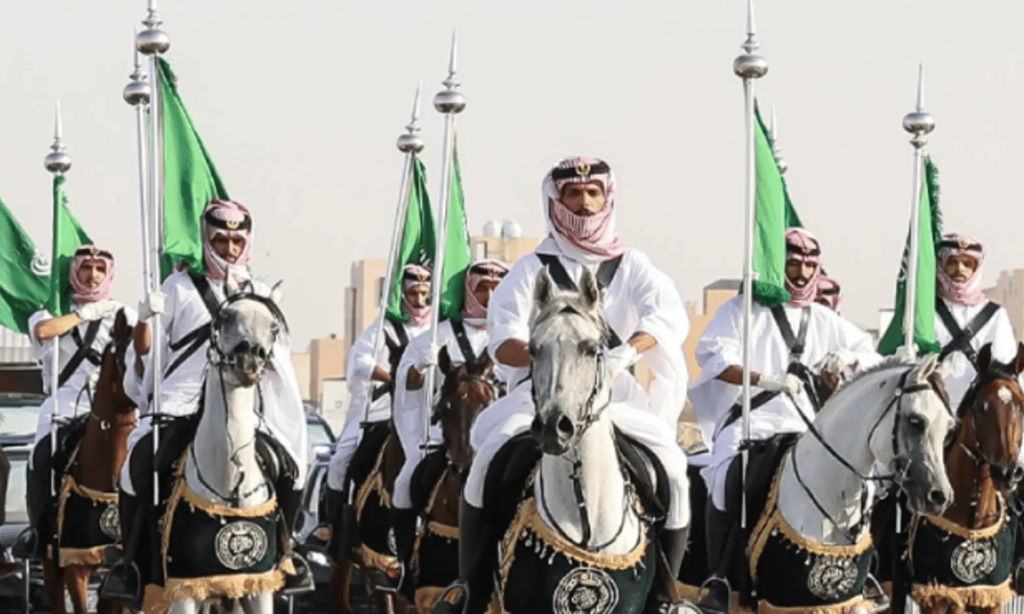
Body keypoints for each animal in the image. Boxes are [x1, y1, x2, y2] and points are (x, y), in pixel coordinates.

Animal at [139, 275, 294, 614]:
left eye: (273, 327)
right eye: (225, 316)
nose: (250, 359)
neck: (230, 482)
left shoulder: (256, 586)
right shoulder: (184, 589)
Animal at [889, 343, 1024, 614]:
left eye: (1022, 405)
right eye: (981, 406)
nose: (1008, 472)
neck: (972, 518)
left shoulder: (989, 596)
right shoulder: (940, 597)